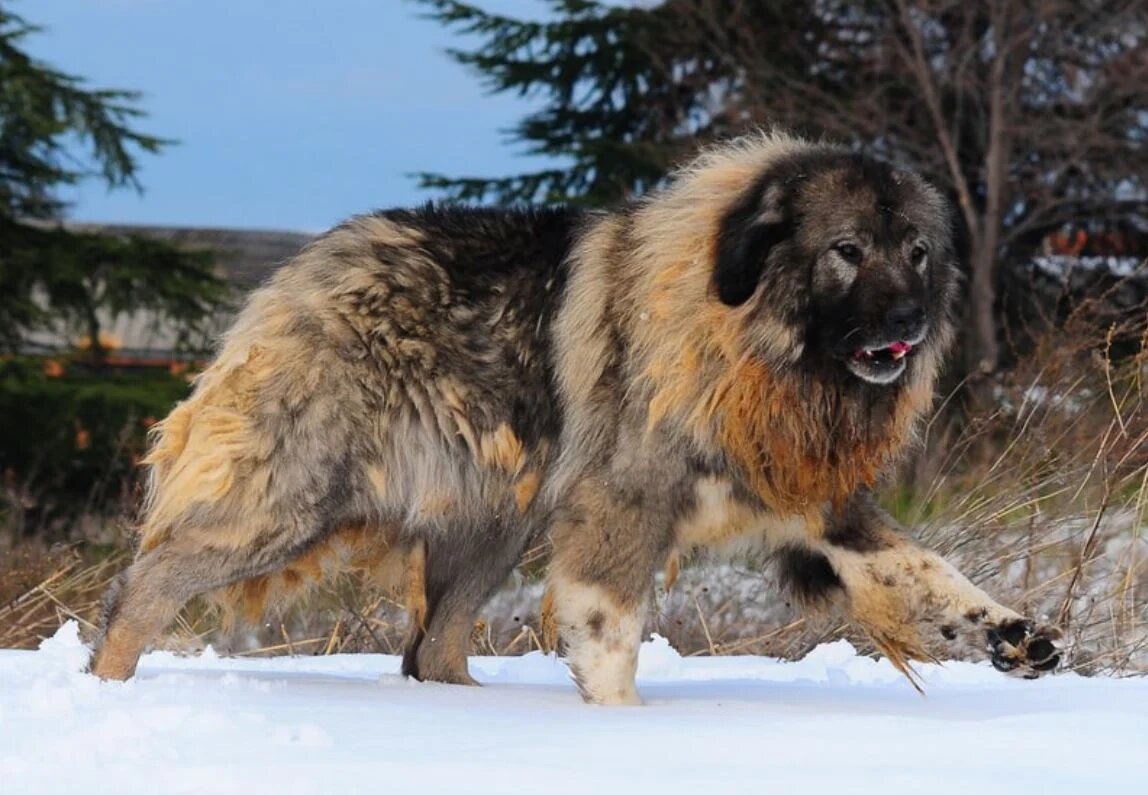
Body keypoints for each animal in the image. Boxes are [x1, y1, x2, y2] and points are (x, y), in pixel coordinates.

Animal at [94, 131, 1060, 702]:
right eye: (848, 252)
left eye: (919, 252)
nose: (910, 322)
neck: (743, 336)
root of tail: (299, 271)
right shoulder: (621, 507)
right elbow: (612, 633)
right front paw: (619, 725)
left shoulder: (819, 504)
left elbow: (930, 575)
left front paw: (1014, 635)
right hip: (288, 503)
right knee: (147, 583)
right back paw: (107, 685)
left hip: (494, 524)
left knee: (431, 648)